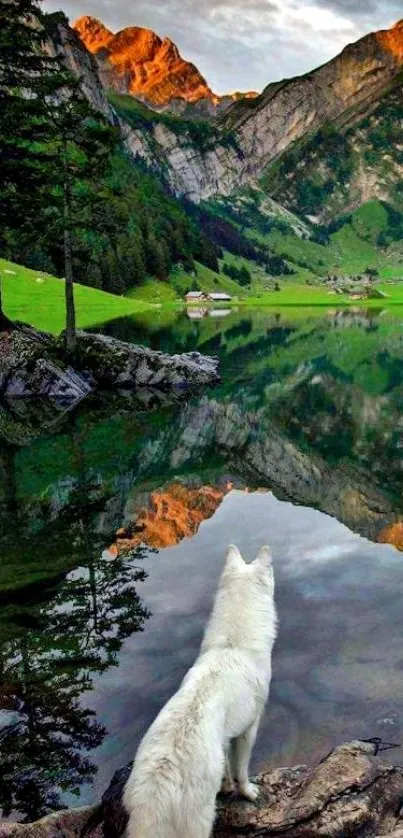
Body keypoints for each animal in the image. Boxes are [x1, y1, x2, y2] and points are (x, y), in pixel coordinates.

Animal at [123, 544, 278, 838]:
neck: (232, 645)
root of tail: (158, 786)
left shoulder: (225, 737)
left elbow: (227, 768)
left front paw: (226, 788)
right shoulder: (248, 729)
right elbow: (241, 770)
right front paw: (248, 792)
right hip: (199, 823)